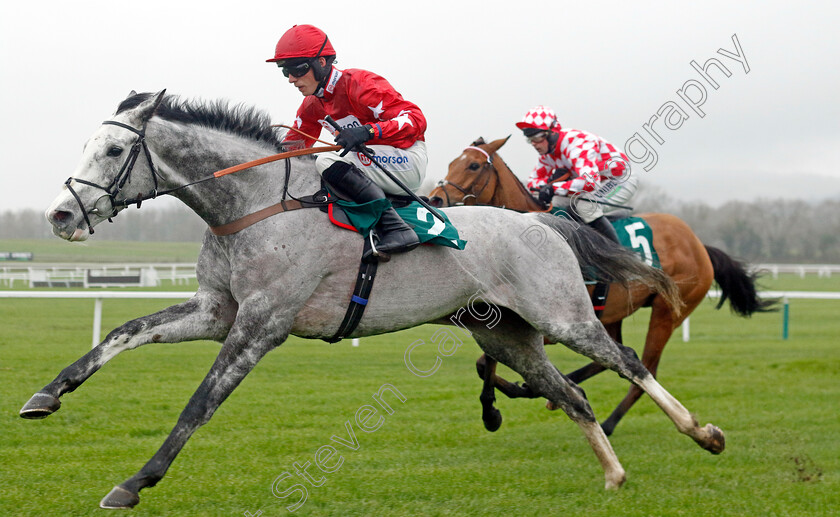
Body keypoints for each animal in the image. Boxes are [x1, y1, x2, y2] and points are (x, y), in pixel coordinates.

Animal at [21, 89, 720, 508]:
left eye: (115, 149)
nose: (60, 215)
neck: (253, 207)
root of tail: (545, 223)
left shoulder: (261, 325)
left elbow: (199, 405)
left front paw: (135, 482)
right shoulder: (218, 312)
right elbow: (123, 332)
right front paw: (46, 396)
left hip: (565, 315)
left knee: (630, 365)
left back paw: (704, 433)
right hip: (506, 333)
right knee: (571, 394)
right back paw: (613, 472)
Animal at [430, 135, 776, 434]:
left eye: (474, 165)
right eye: (451, 162)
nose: (436, 197)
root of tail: (700, 245)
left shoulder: (553, 320)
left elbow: (488, 361)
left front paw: (499, 406)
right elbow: (484, 362)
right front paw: (502, 403)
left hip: (667, 312)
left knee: (645, 365)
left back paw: (608, 423)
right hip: (614, 313)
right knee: (619, 356)